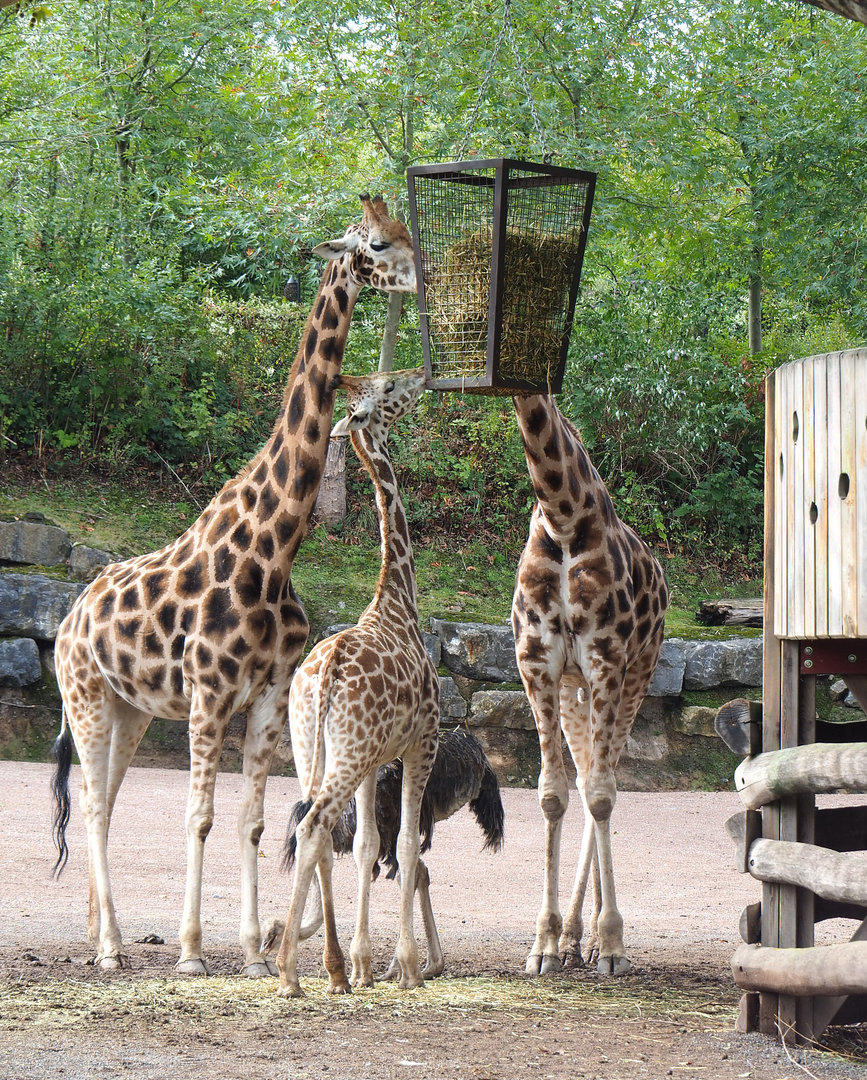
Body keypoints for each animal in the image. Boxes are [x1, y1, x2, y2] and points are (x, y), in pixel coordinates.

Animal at [50, 195, 417, 977]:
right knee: (92, 805)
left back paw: (100, 933)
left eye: (404, 233)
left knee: (107, 801)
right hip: (87, 696)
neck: (271, 551)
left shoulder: (270, 696)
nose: (419, 276)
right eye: (375, 243)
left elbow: (251, 820)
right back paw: (112, 947)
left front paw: (250, 952)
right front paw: (191, 952)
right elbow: (201, 816)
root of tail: (67, 620)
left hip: (129, 710)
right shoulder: (210, 695)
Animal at [273, 367, 440, 998]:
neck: (399, 597)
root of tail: (322, 676)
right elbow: (406, 844)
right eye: (388, 388)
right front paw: (408, 968)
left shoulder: (374, 759)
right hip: (344, 753)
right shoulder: (421, 743)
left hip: (310, 747)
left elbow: (368, 843)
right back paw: (289, 973)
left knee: (312, 829)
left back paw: (334, 969)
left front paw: (368, 964)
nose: (421, 377)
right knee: (315, 824)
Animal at [510, 392, 668, 977]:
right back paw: (575, 939)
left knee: (605, 782)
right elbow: (553, 795)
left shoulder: (607, 658)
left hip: (637, 674)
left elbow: (602, 796)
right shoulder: (536, 661)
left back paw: (597, 940)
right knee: (582, 781)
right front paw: (543, 944)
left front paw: (615, 944)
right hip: (574, 690)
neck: (563, 518)